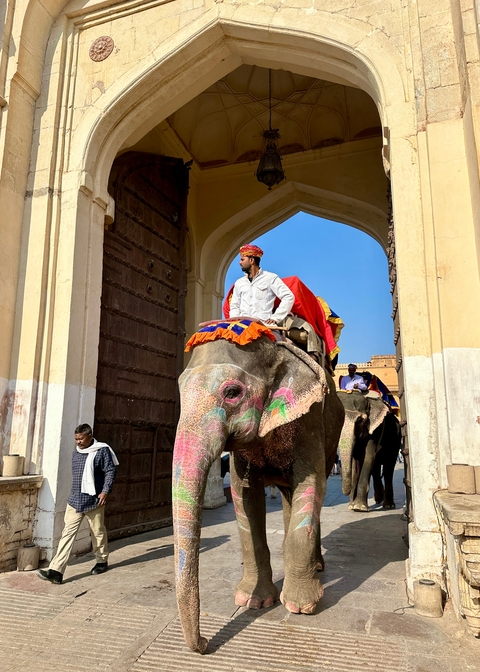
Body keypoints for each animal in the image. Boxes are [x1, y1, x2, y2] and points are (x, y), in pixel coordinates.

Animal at [172, 335, 345, 653]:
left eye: (232, 392)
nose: (204, 643)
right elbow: (244, 495)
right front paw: (252, 602)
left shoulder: (310, 420)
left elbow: (311, 484)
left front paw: (300, 607)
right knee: (288, 496)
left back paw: (315, 567)